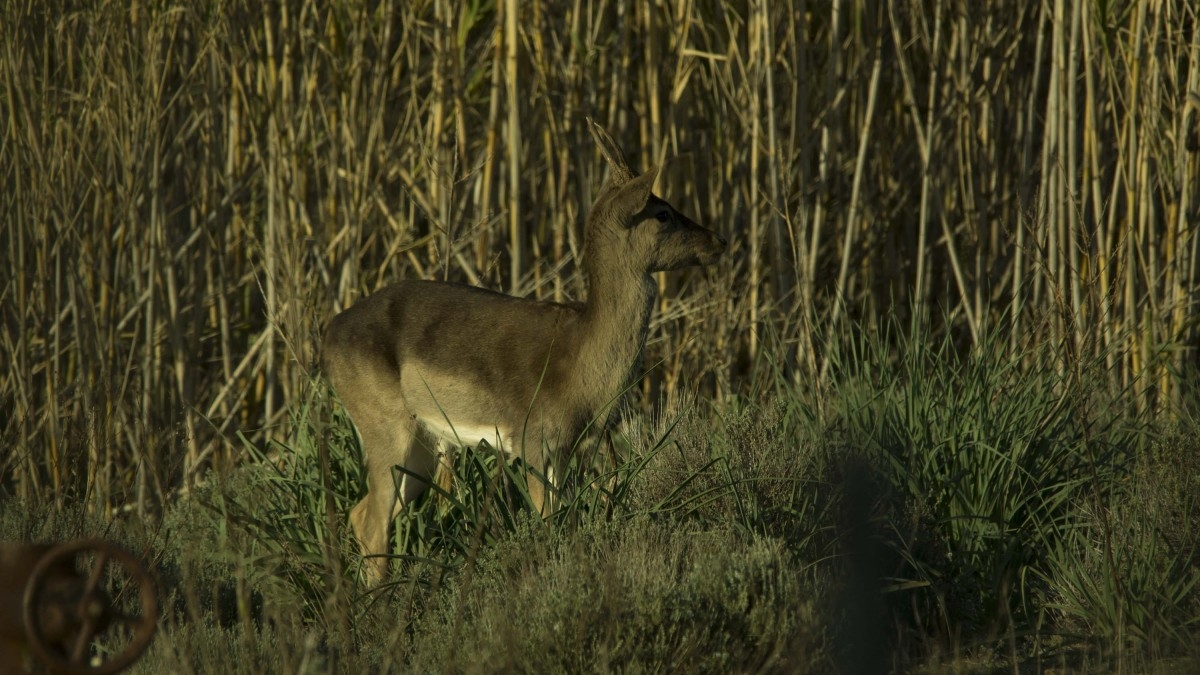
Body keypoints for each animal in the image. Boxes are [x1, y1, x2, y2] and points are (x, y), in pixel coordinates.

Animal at [324, 118, 724, 581]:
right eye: (662, 213)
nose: (719, 241)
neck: (581, 358)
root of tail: (328, 334)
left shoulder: (567, 449)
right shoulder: (533, 437)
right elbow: (547, 523)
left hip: (421, 444)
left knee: (362, 514)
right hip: (384, 423)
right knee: (373, 523)